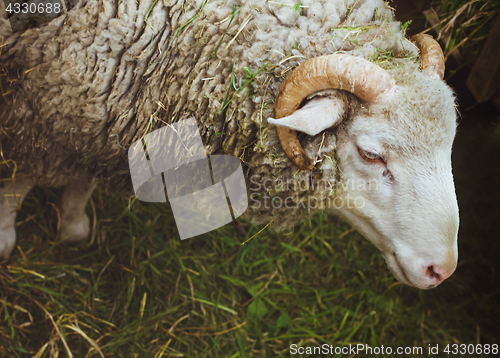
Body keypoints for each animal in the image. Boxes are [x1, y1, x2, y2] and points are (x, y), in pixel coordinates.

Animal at [0, 0, 460, 288]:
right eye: (370, 154)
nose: (442, 270)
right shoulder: (35, 112)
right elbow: (19, 183)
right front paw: (6, 238)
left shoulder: (96, 116)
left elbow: (83, 179)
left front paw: (73, 225)